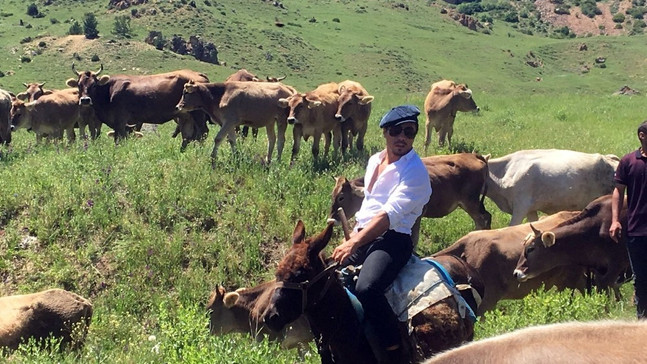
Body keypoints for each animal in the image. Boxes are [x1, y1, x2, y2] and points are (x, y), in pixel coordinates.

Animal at [65, 63, 210, 149]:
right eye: (79, 85)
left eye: (94, 85)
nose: (85, 100)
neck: (109, 91)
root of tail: (198, 74)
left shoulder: (121, 120)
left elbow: (119, 139)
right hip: (186, 116)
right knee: (189, 135)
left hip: (198, 114)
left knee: (202, 132)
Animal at [332, 152, 494, 243]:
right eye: (332, 195)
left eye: (341, 197)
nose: (331, 220)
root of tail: (473, 155)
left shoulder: (417, 216)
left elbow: (413, 239)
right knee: (486, 216)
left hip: (470, 202)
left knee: (482, 219)